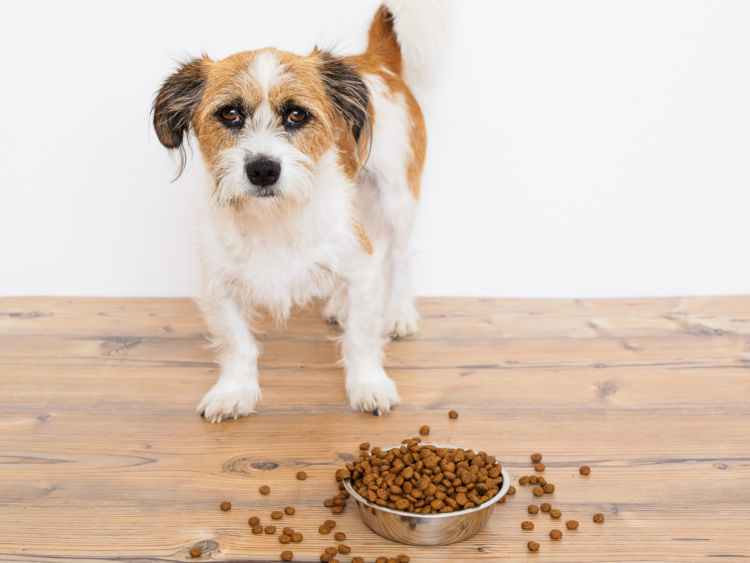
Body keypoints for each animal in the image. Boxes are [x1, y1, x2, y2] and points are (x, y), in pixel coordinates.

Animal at [153, 1, 446, 424]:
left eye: (296, 115)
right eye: (229, 113)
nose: (262, 169)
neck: (275, 216)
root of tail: (373, 59)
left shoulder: (359, 268)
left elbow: (360, 340)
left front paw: (368, 385)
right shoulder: (218, 286)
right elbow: (237, 343)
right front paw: (234, 391)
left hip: (397, 196)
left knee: (399, 255)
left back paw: (398, 312)